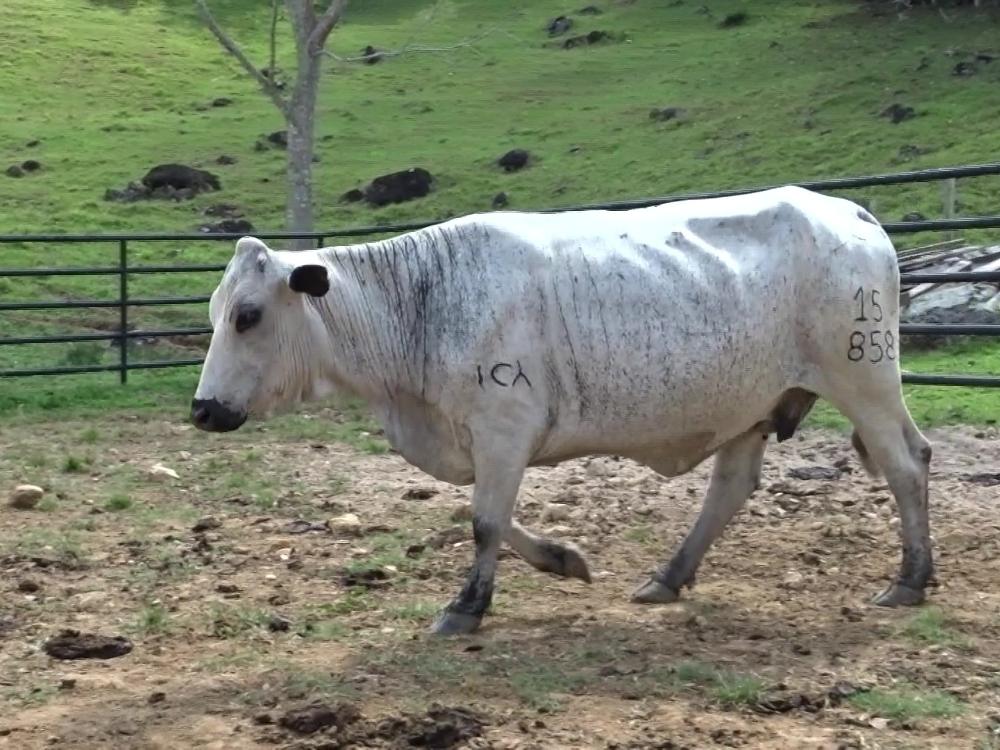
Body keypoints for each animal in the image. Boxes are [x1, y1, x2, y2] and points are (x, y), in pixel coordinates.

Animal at [191, 185, 932, 636]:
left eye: (248, 315)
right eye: (217, 311)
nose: (202, 409)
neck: (421, 302)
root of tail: (850, 213)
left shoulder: (503, 424)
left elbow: (484, 521)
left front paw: (466, 607)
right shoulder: (483, 439)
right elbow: (489, 516)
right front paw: (562, 558)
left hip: (863, 376)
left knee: (907, 464)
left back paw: (912, 579)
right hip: (753, 404)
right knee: (730, 488)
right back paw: (667, 578)